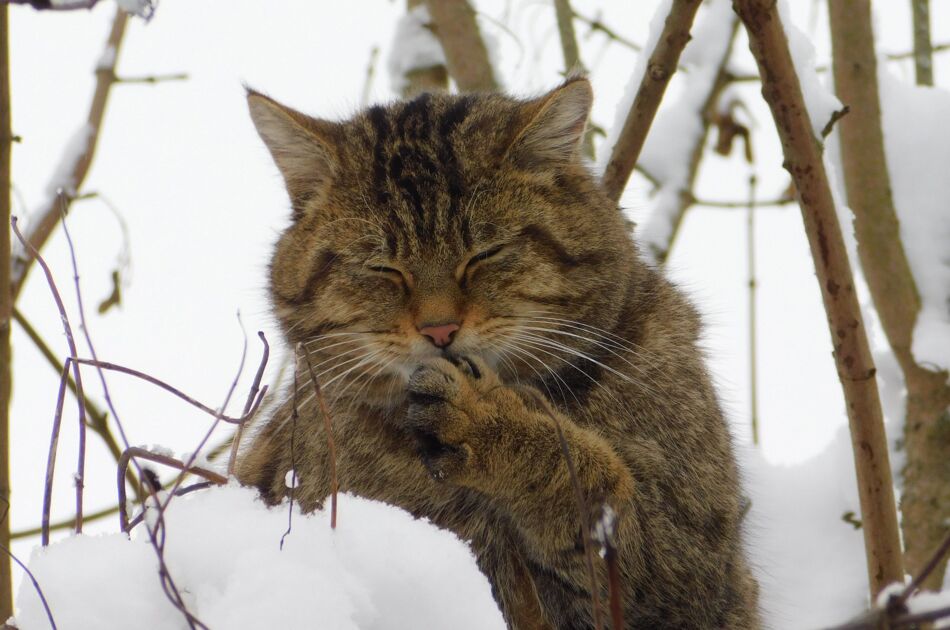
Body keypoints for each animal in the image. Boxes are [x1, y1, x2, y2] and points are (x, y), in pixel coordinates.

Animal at [242, 80, 764, 630]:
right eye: (382, 267)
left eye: (485, 254)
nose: (440, 328)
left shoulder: (692, 572)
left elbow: (589, 483)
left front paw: (487, 423)